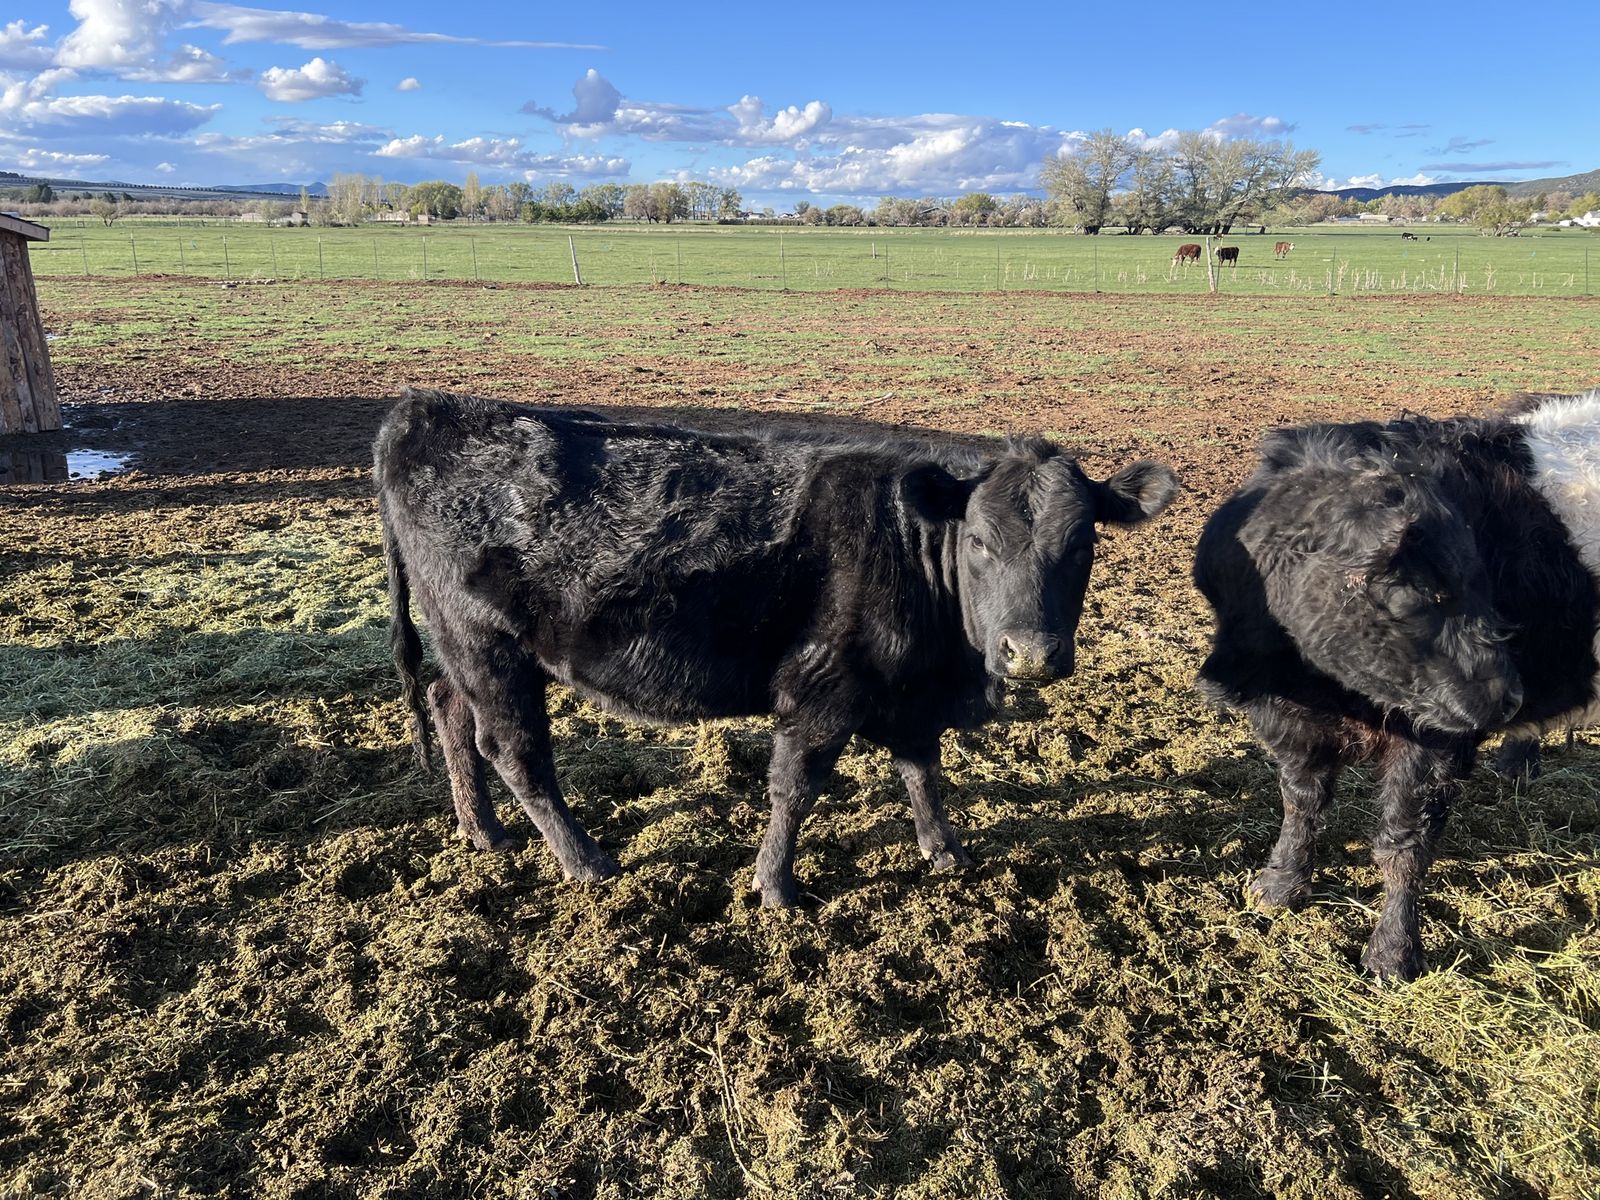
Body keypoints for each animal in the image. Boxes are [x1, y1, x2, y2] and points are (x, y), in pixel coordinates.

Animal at [377, 389, 1179, 907]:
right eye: (980, 540)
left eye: (1083, 544)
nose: (1031, 653)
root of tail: (424, 408)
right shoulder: (821, 689)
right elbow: (795, 788)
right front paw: (775, 887)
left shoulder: (908, 688)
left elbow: (923, 769)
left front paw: (944, 850)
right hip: (488, 647)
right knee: (513, 751)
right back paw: (587, 861)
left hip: (469, 651)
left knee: (449, 710)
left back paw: (482, 833)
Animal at [1193, 390, 1600, 981]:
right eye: (1419, 595)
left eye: (1481, 580)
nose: (1507, 699)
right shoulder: (1290, 723)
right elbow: (1300, 804)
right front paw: (1278, 887)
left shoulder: (1433, 743)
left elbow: (1404, 845)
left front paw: (1391, 954)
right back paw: (1516, 762)